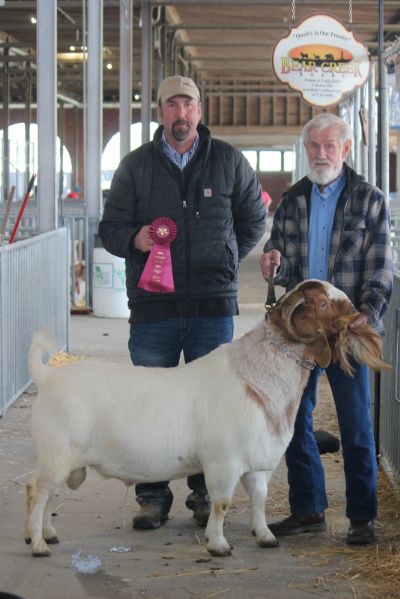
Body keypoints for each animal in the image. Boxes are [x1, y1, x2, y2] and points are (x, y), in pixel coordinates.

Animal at [23, 282, 390, 556]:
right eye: (326, 303)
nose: (361, 316)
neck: (257, 378)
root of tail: (47, 376)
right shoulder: (223, 463)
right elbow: (222, 503)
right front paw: (219, 545)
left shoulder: (258, 464)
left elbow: (258, 500)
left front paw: (265, 537)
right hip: (56, 454)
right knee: (36, 492)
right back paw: (38, 544)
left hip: (64, 462)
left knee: (48, 496)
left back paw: (49, 535)